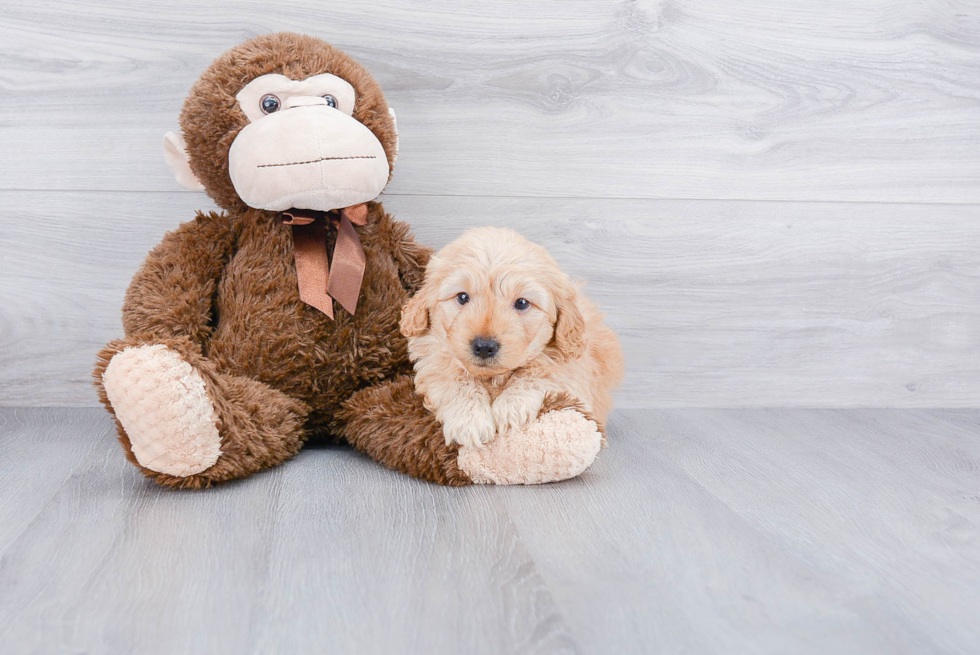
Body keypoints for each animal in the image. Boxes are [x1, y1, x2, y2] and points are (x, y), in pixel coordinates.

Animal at [400, 227, 624, 452]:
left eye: (522, 303)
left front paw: (511, 407)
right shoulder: (433, 358)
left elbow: (541, 373)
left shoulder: (571, 371)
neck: (493, 377)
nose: (484, 347)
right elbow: (454, 380)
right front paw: (470, 420)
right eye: (462, 297)